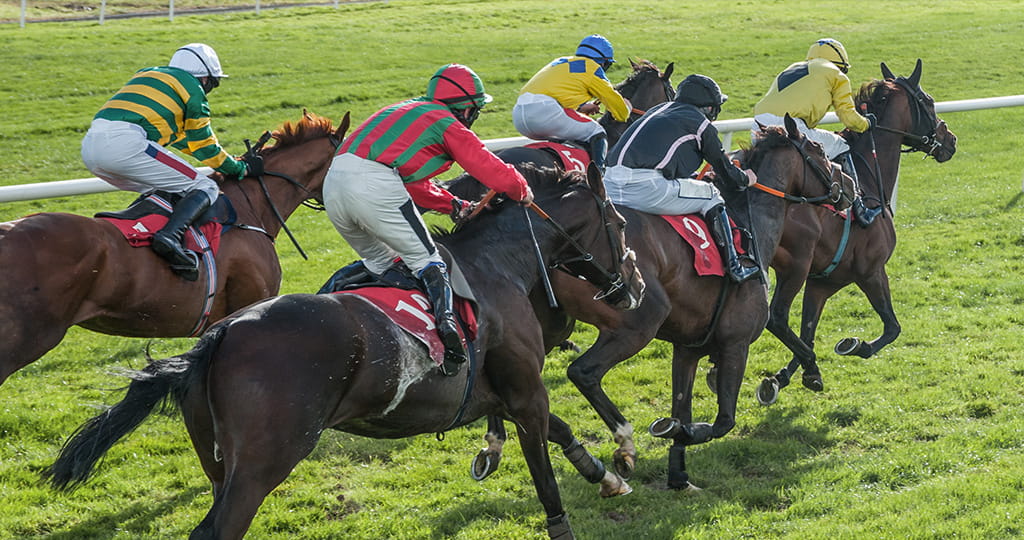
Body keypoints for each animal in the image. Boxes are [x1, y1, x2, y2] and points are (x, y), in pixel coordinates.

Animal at [48, 163, 643, 540]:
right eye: (617, 222)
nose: (635, 285)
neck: (499, 267)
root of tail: (218, 337)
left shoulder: (500, 395)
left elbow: (561, 432)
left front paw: (609, 474)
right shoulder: (524, 394)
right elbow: (546, 477)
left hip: (220, 466)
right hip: (263, 464)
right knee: (217, 530)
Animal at [448, 116, 856, 491]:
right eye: (819, 150)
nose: (849, 188)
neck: (749, 225)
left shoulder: (687, 349)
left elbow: (683, 405)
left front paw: (678, 474)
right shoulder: (735, 343)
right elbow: (722, 420)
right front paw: (674, 431)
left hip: (545, 328)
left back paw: (494, 445)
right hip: (638, 320)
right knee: (583, 372)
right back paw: (622, 445)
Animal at [753, 60, 958, 405]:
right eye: (928, 101)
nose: (952, 140)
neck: (868, 176)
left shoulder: (822, 282)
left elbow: (808, 331)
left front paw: (787, 376)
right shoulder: (870, 271)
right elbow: (892, 327)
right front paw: (853, 346)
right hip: (794, 267)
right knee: (775, 316)